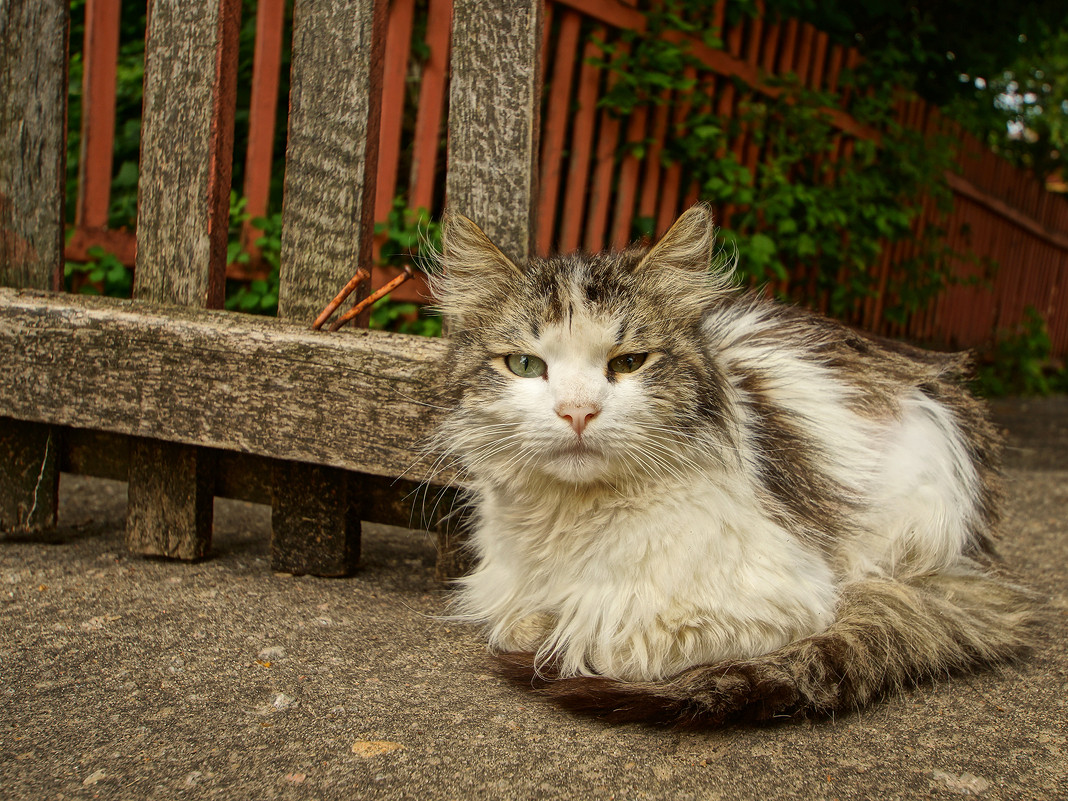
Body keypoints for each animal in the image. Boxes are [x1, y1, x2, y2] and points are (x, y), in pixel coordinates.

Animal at [429, 201, 1038, 726]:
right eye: (525, 365)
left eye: (628, 363)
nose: (577, 412)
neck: (576, 519)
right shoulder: (500, 585)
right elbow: (516, 623)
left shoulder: (788, 599)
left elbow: (604, 640)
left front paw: (561, 633)